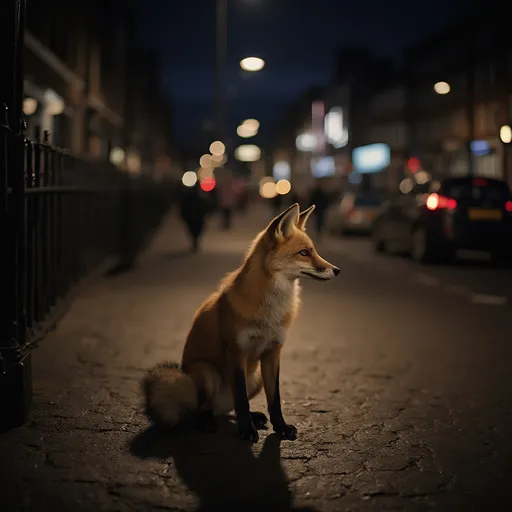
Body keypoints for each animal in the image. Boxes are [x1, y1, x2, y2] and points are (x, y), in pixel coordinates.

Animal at [142, 202, 338, 442]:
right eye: (304, 253)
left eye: (314, 251)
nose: (337, 270)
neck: (269, 312)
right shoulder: (237, 351)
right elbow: (242, 399)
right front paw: (246, 431)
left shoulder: (273, 352)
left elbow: (274, 399)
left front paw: (280, 427)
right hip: (207, 371)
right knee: (205, 407)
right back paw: (208, 421)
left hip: (255, 378)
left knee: (230, 407)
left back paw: (254, 417)